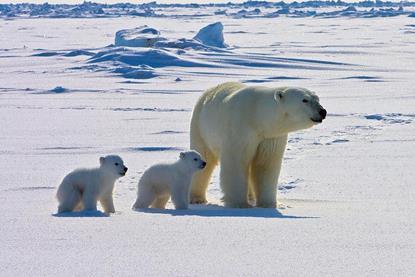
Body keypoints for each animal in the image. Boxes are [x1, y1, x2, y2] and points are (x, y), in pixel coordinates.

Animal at [189, 82, 328, 207]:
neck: (257, 116)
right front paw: (239, 204)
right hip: (200, 127)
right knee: (204, 158)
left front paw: (269, 204)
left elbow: (266, 165)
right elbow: (236, 163)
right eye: (305, 100)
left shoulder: (270, 137)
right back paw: (197, 198)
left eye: (317, 99)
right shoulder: (240, 129)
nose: (323, 111)